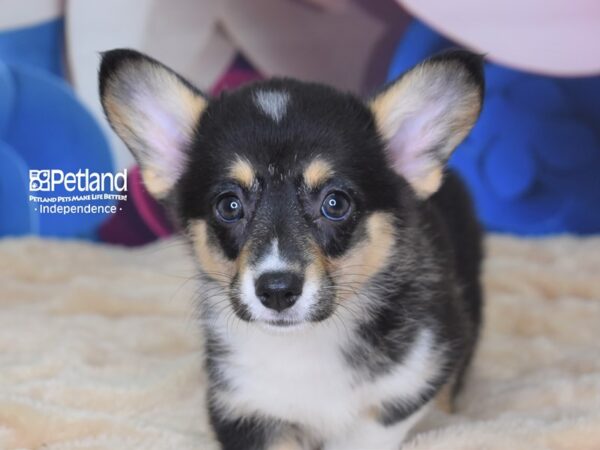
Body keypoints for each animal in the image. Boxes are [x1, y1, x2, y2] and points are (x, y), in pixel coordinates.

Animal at [97, 47, 482, 448]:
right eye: (229, 206)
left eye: (335, 204)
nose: (278, 290)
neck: (303, 346)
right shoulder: (241, 408)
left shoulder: (412, 379)